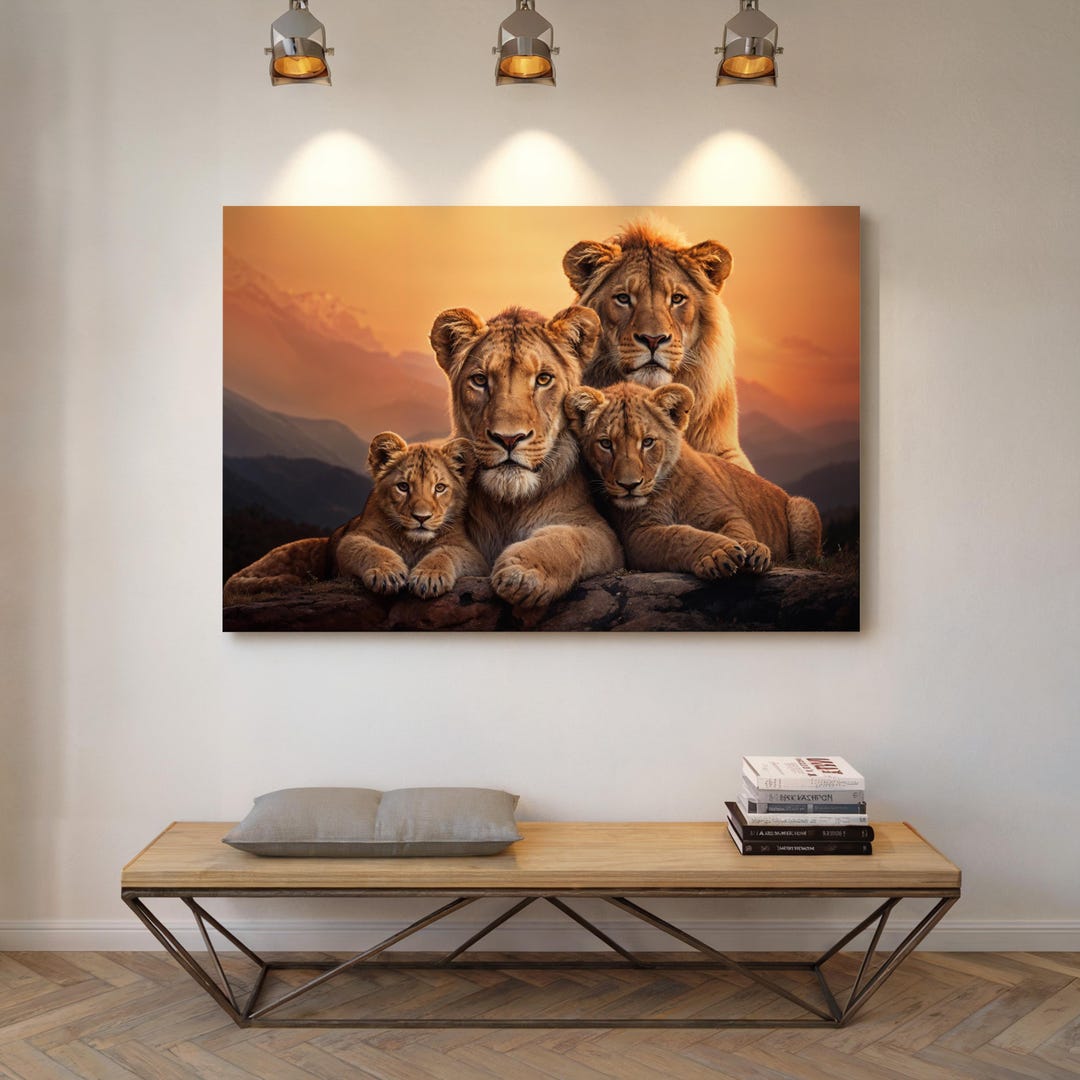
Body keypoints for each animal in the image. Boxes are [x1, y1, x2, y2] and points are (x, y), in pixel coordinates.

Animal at [222, 433, 486, 604]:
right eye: (403, 487)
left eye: (440, 488)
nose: (421, 518)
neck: (413, 543)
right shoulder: (353, 537)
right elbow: (371, 549)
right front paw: (387, 573)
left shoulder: (471, 552)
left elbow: (444, 553)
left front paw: (429, 578)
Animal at [429, 305, 623, 607]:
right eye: (480, 380)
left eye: (543, 379)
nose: (509, 438)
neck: (508, 506)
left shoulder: (601, 533)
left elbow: (568, 538)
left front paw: (523, 572)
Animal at [565, 382, 821, 580]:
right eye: (606, 444)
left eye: (647, 442)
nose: (629, 485)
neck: (666, 490)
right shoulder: (637, 535)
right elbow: (680, 536)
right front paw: (718, 552)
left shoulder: (724, 513)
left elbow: (739, 528)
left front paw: (754, 550)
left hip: (802, 506)